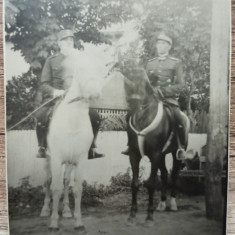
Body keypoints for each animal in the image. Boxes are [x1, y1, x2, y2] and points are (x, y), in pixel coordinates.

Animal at [125, 67, 189, 226]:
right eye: (127, 79)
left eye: (143, 80)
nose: (134, 104)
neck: (143, 117)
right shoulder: (134, 154)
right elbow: (135, 183)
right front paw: (132, 215)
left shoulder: (155, 154)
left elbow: (151, 184)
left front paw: (149, 217)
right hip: (162, 155)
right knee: (165, 174)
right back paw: (161, 203)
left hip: (175, 154)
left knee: (174, 174)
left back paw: (172, 204)